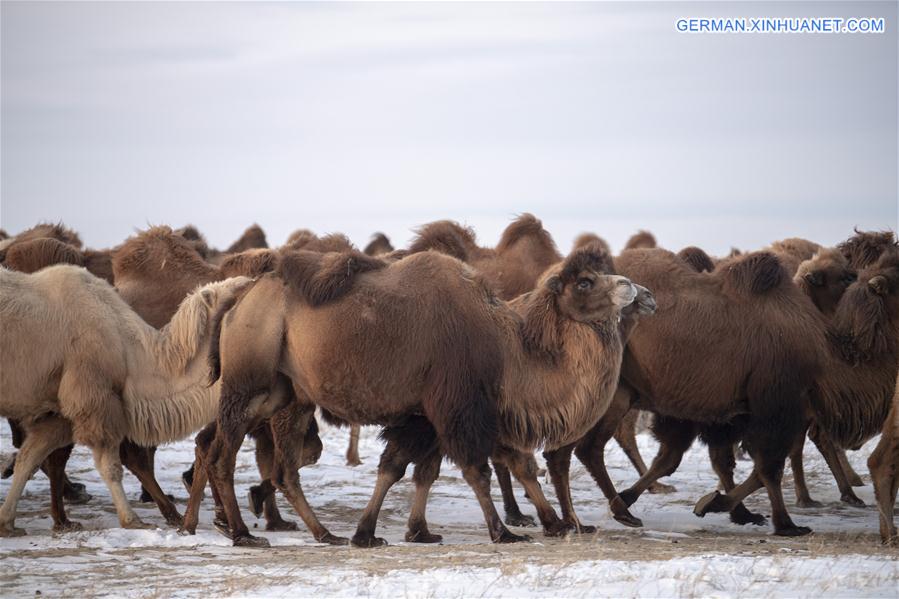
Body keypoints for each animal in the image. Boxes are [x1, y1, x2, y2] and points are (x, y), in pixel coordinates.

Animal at [0, 264, 253, 536]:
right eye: (236, 291)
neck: (130, 353)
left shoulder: (59, 412)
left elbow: (28, 459)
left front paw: (7, 522)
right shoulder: (94, 395)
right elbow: (110, 466)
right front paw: (133, 520)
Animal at [200, 243, 636, 548]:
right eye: (585, 281)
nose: (631, 286)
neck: (504, 349)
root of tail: (237, 300)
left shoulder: (426, 413)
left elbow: (408, 470)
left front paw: (394, 532)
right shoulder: (459, 405)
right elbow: (476, 471)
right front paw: (505, 531)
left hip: (287, 394)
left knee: (282, 468)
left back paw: (324, 533)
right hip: (247, 381)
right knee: (224, 455)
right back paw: (243, 534)